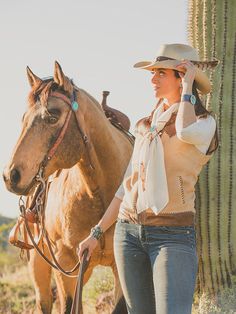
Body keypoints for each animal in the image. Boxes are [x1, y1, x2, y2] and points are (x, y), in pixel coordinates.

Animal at [2, 62, 133, 314]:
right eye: (24, 118)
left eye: (52, 116)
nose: (10, 176)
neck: (101, 194)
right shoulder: (64, 262)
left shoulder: (120, 263)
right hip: (42, 266)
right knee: (45, 302)